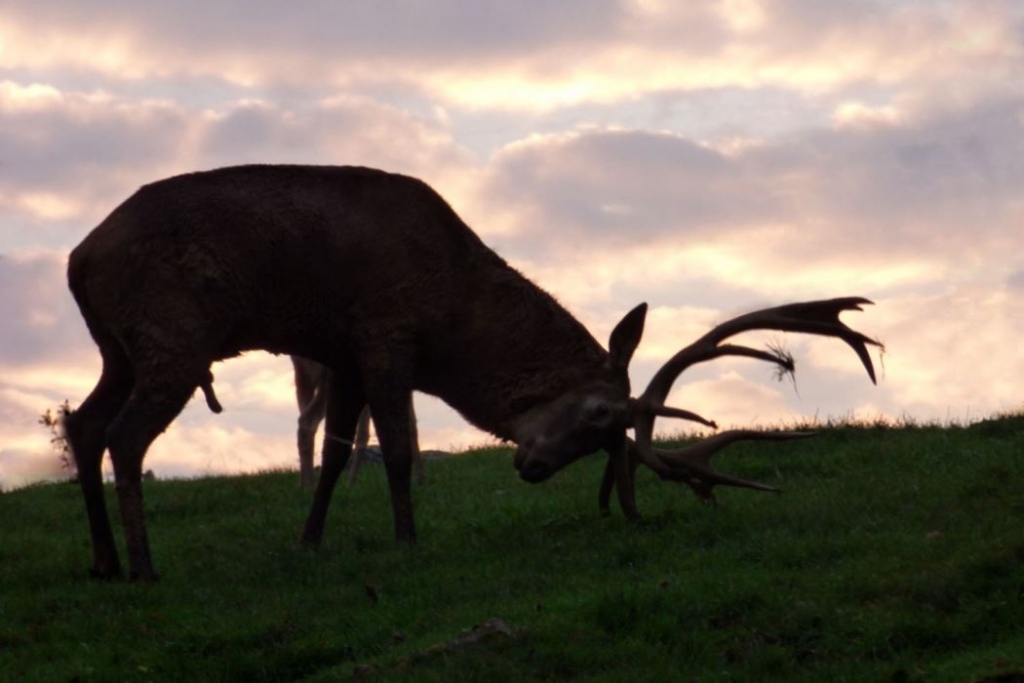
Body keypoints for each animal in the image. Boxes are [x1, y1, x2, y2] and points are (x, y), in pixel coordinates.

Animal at [291, 356, 424, 489]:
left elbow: (410, 424)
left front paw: (420, 480)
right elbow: (364, 433)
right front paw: (350, 485)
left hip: (304, 376)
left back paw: (304, 484)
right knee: (308, 420)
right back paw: (309, 485)